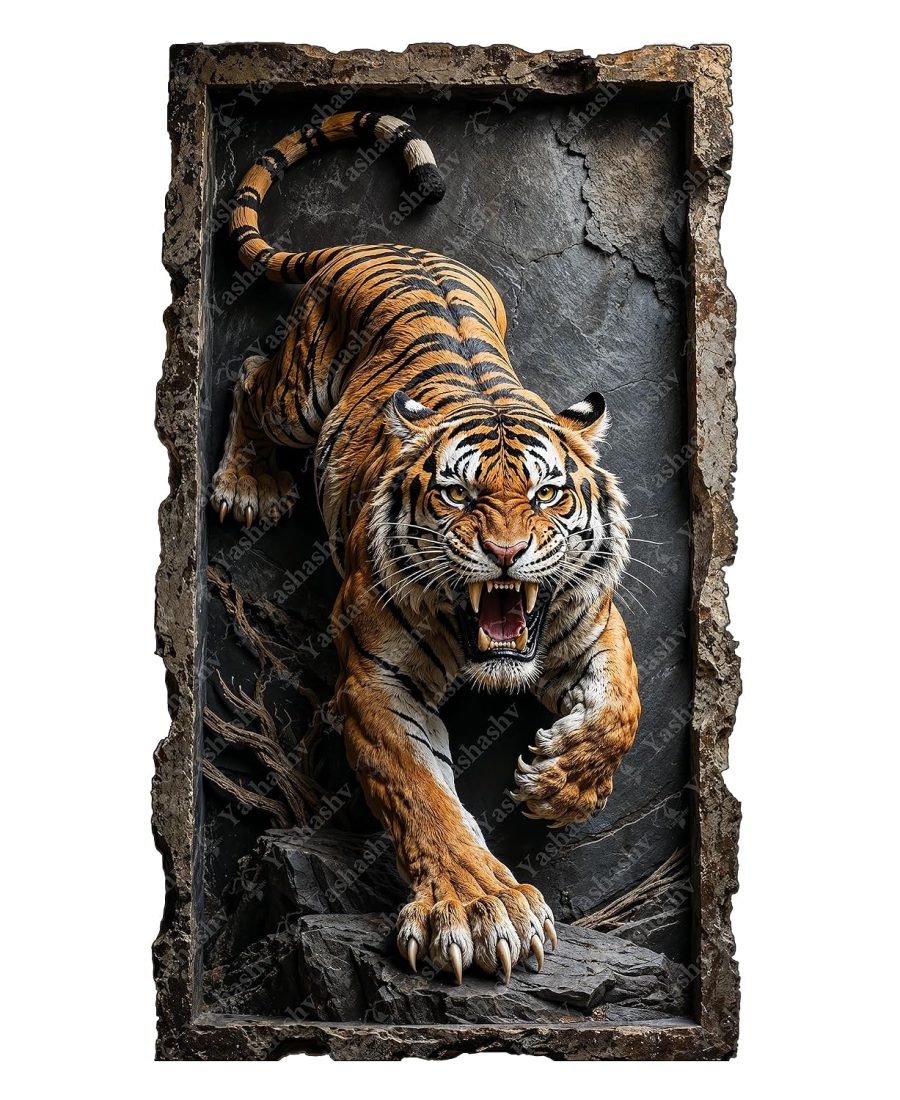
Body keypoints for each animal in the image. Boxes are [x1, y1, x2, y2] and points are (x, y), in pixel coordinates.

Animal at [212, 110, 641, 985]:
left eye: (547, 495)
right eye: (458, 495)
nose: (507, 554)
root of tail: (372, 246)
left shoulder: (597, 621)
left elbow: (624, 708)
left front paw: (559, 782)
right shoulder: (376, 680)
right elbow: (425, 797)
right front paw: (480, 912)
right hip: (295, 397)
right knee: (248, 372)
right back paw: (245, 485)